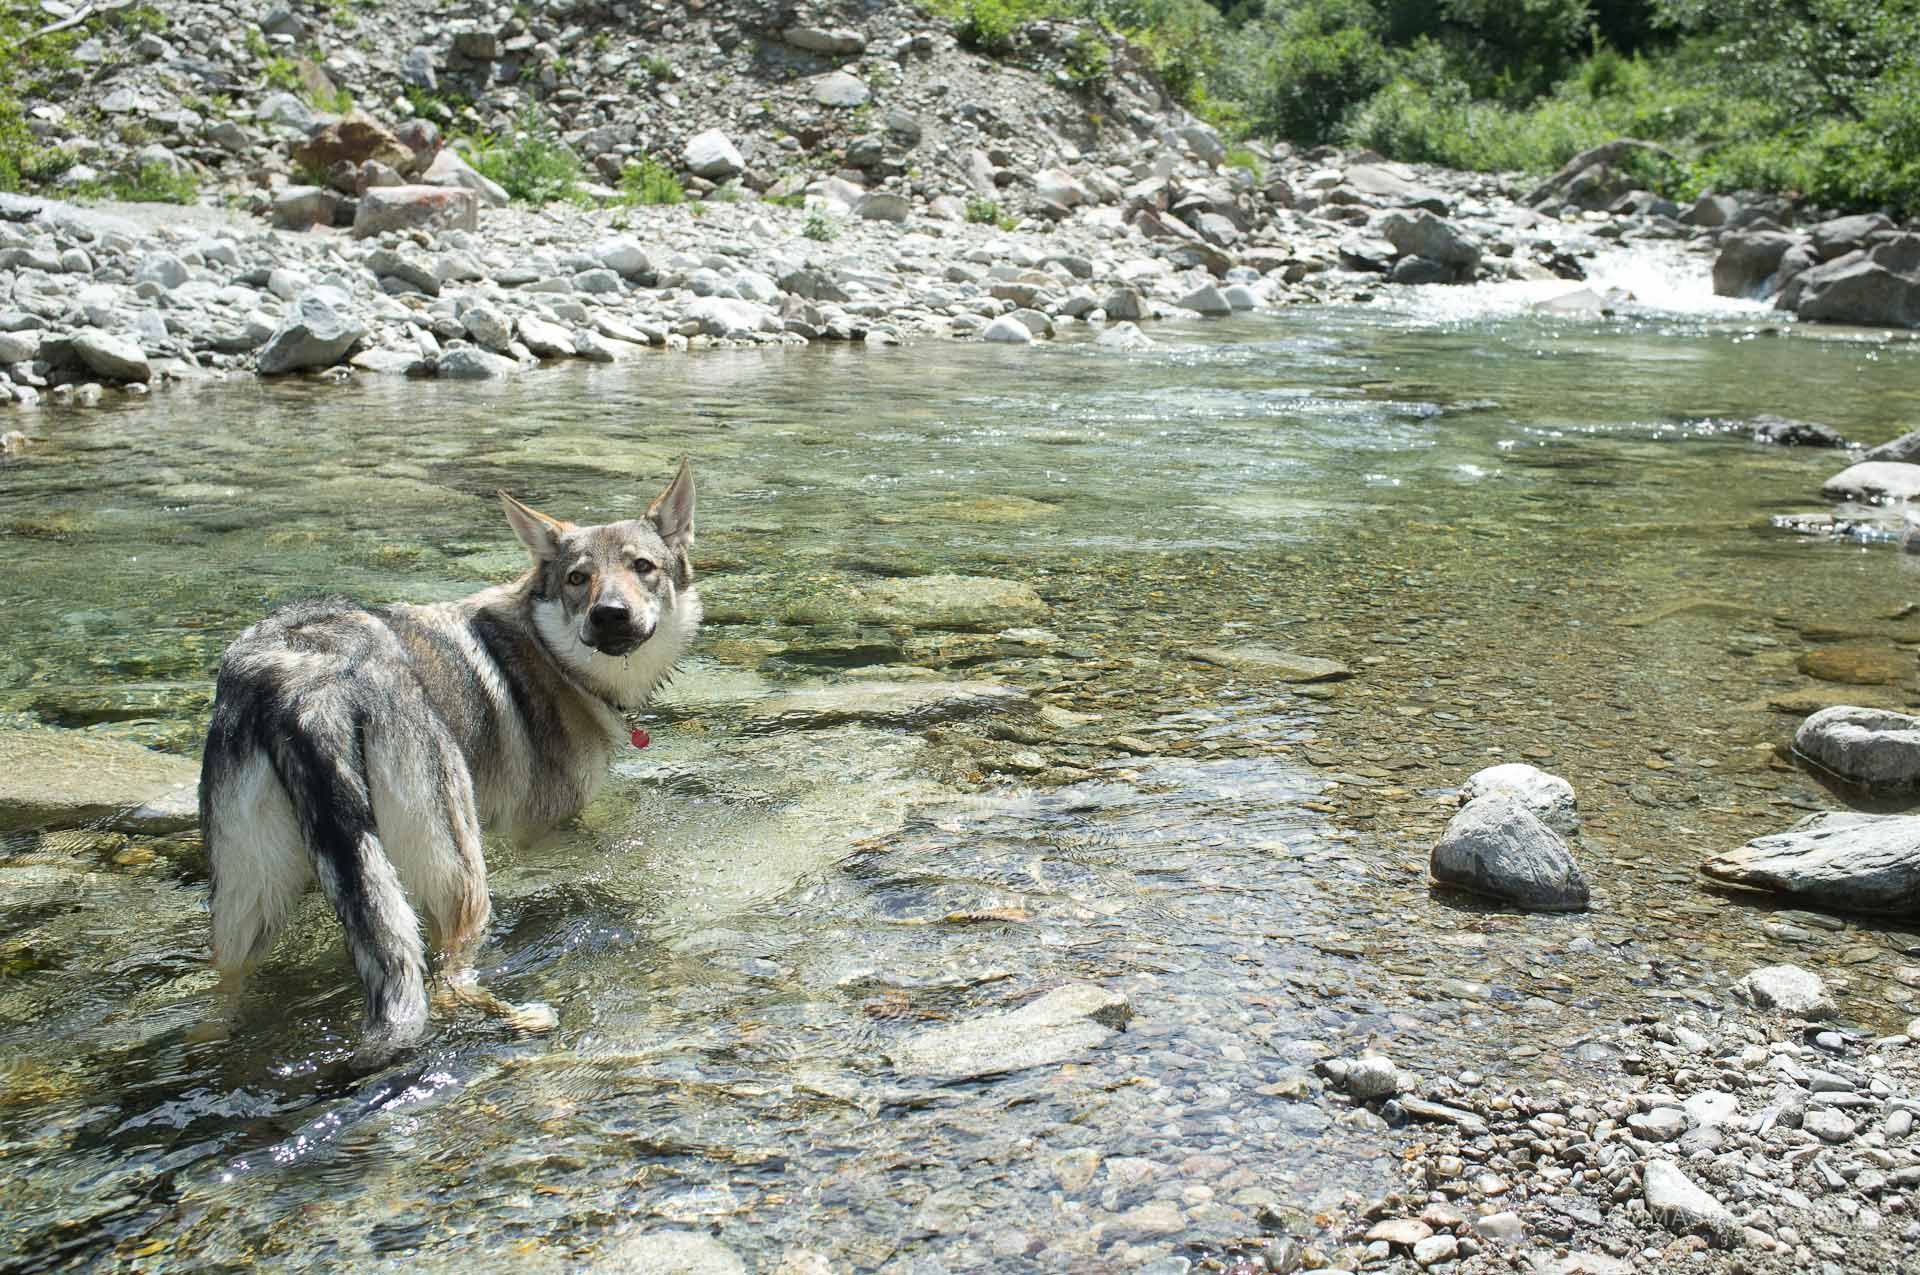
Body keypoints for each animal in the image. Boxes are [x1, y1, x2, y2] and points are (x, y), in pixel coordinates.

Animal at [198, 461, 700, 1062]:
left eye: (642, 567)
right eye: (578, 579)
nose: (609, 616)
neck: (552, 657)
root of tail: (306, 682)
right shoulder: (546, 831)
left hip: (245, 908)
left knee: (221, 991)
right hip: (462, 876)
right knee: (445, 983)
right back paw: (522, 1020)